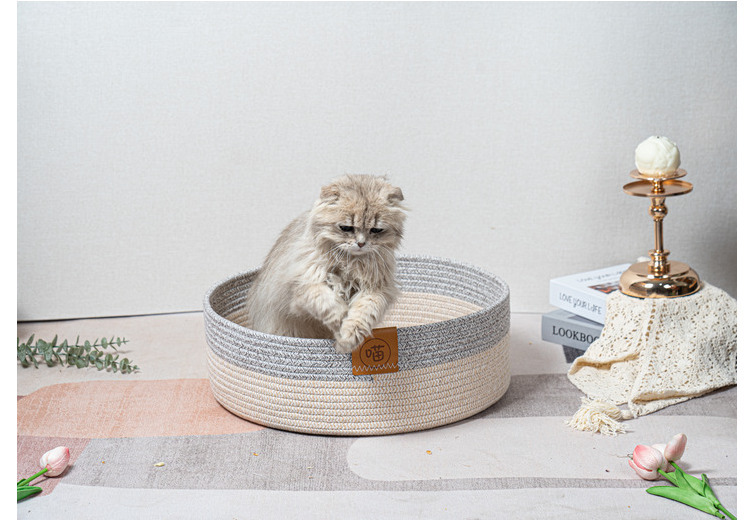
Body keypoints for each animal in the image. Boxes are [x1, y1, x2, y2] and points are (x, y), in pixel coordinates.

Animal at [246, 174, 406, 354]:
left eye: (376, 230)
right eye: (346, 228)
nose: (361, 243)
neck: (350, 263)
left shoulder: (376, 290)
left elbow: (362, 315)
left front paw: (348, 339)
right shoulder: (304, 285)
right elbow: (329, 304)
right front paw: (341, 322)